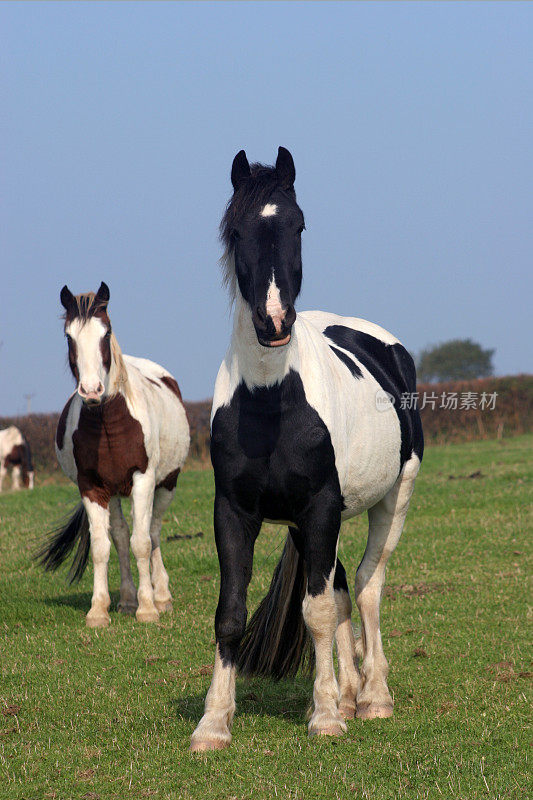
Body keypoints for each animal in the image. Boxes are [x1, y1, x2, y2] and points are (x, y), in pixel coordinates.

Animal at [36, 284, 189, 628]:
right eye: (69, 336)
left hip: (166, 484)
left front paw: (148, 609)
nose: (92, 390)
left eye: (105, 334)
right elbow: (102, 547)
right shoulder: (92, 487)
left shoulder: (143, 479)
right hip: (116, 492)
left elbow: (142, 543)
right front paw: (99, 610)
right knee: (119, 536)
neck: (108, 423)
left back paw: (161, 596)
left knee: (153, 533)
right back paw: (128, 599)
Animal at [189, 148, 422, 752]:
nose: (274, 322)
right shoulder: (235, 511)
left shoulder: (319, 506)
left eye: (298, 225)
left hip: (392, 499)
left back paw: (373, 696)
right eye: (238, 230)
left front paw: (325, 717)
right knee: (340, 591)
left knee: (365, 587)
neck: (271, 400)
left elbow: (317, 611)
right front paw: (213, 723)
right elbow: (231, 613)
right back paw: (348, 692)